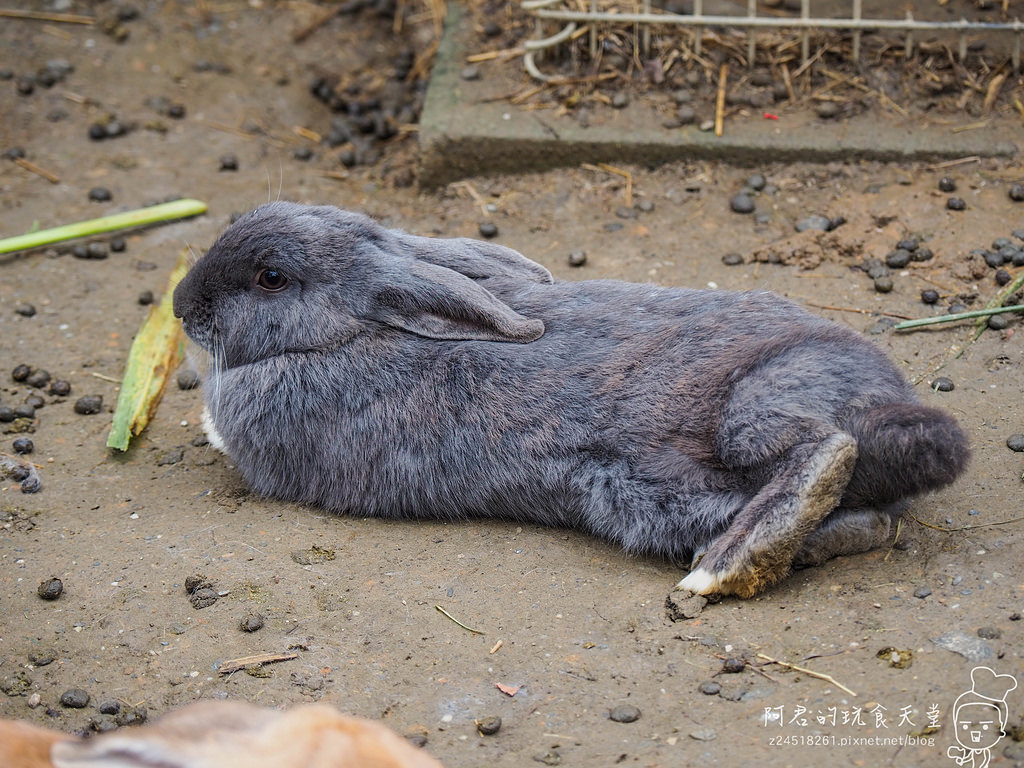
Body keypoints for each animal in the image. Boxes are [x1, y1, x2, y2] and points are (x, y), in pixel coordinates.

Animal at [174, 201, 966, 598]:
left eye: (271, 277)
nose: (182, 306)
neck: (347, 332)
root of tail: (884, 399)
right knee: (868, 514)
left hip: (737, 420)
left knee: (822, 448)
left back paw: (722, 569)